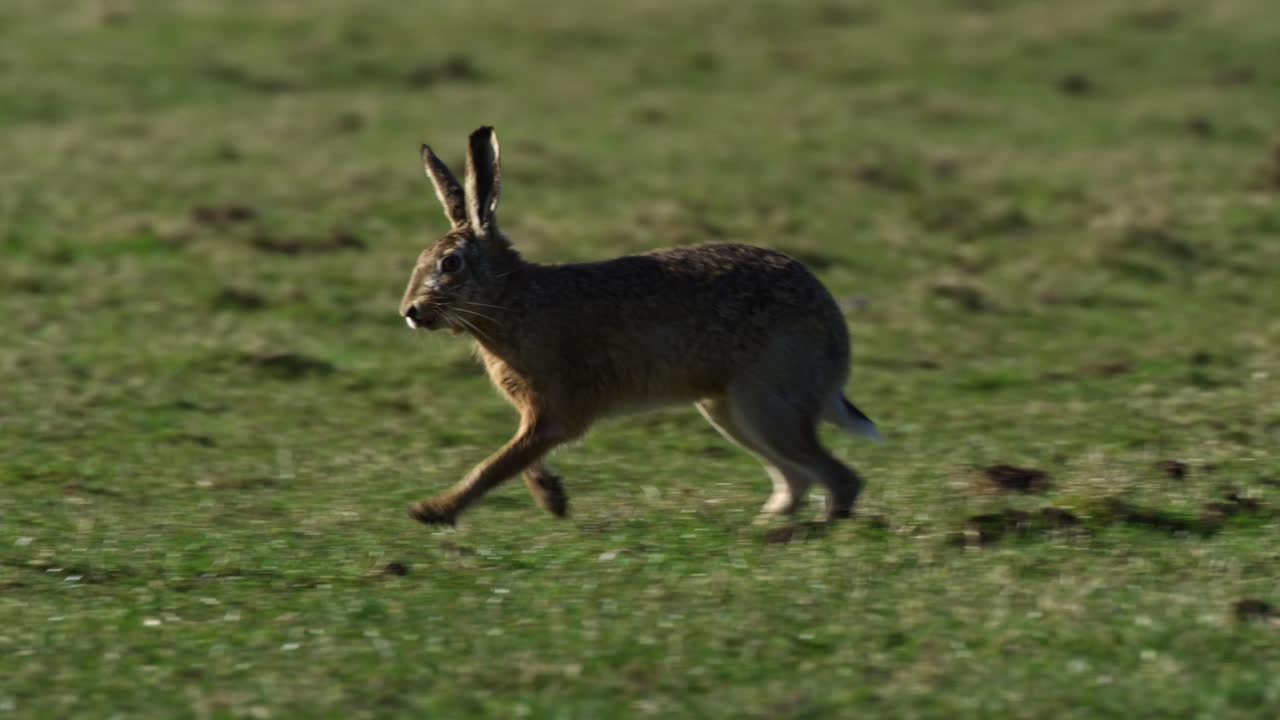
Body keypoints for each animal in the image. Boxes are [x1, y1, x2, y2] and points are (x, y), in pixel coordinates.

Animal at [399, 126, 879, 527]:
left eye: (450, 263)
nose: (410, 311)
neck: (509, 300)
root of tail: (835, 333)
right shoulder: (537, 416)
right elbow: (520, 459)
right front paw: (553, 498)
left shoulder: (554, 412)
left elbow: (495, 465)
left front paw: (432, 511)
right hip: (728, 409)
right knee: (799, 476)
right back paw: (767, 525)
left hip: (765, 402)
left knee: (839, 476)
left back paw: (805, 531)